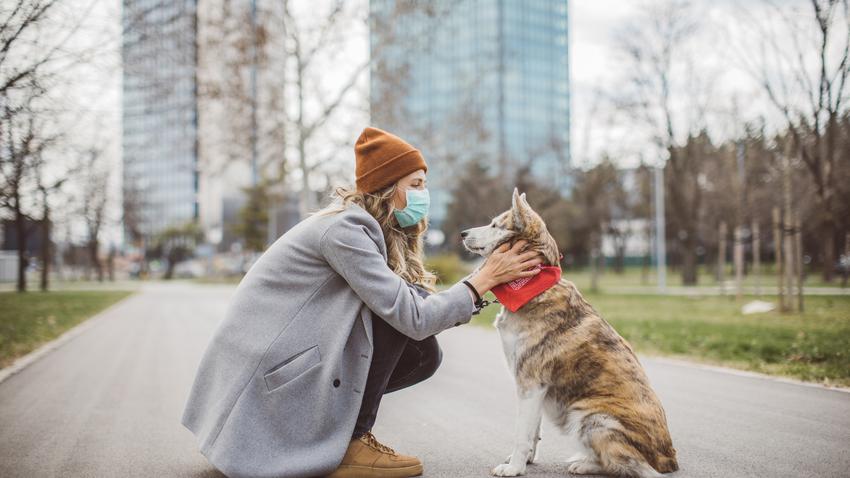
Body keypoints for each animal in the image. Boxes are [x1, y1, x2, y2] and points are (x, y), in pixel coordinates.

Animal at [464, 189, 676, 476]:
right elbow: (533, 432)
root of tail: (670, 459)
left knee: (629, 466)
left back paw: (584, 464)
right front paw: (525, 461)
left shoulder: (530, 384)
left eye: (496, 225)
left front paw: (514, 468)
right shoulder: (536, 390)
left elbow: (522, 434)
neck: (534, 285)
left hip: (591, 417)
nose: (462, 233)